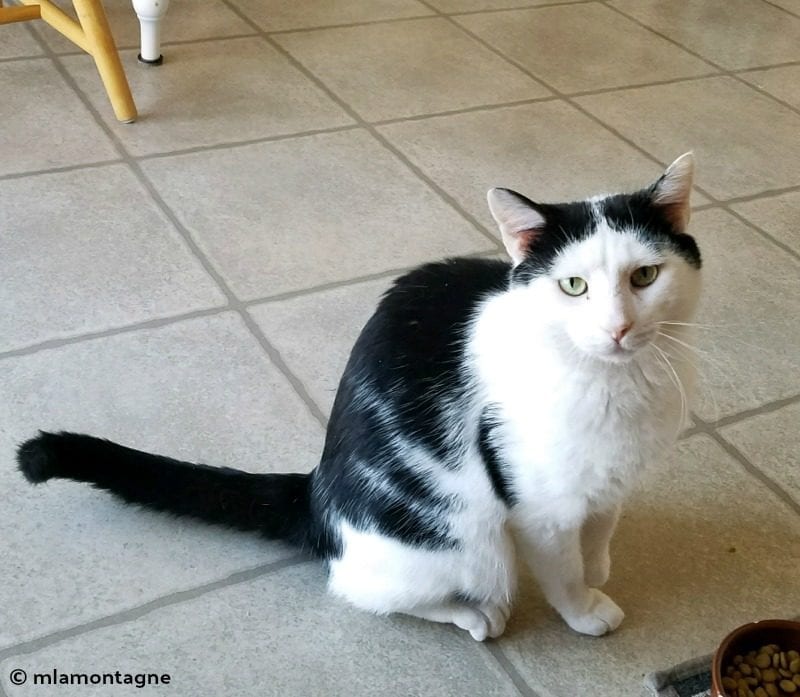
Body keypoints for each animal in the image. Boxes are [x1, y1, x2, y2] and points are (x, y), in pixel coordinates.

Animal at [15, 152, 696, 640]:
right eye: (573, 286)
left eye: (645, 276)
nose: (618, 328)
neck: (616, 384)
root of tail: (317, 492)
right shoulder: (540, 508)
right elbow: (563, 569)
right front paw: (585, 610)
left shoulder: (606, 482)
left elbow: (600, 532)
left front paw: (601, 567)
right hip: (467, 541)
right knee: (361, 589)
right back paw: (474, 615)